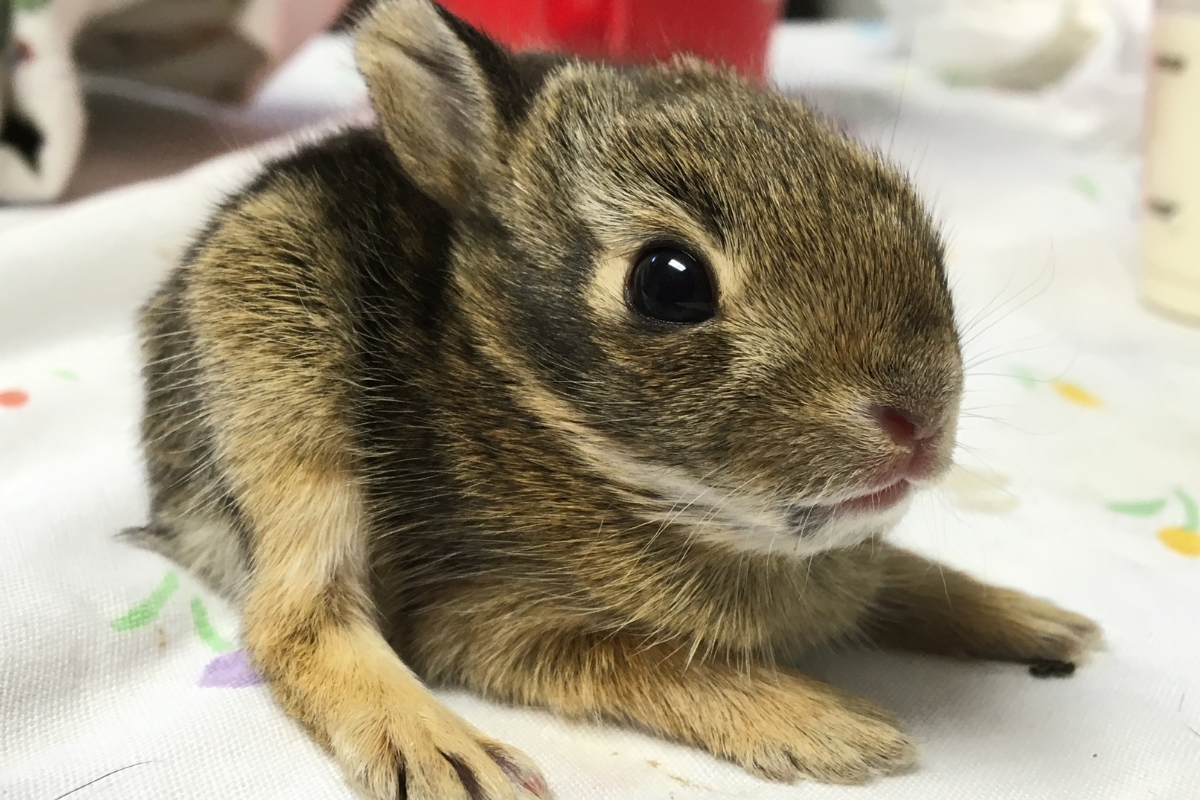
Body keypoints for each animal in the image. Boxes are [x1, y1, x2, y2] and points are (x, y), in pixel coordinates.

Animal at [130, 1, 1103, 798]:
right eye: (669, 283)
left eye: (900, 204)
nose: (919, 422)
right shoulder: (486, 618)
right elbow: (654, 661)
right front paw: (834, 729)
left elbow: (901, 574)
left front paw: (1044, 623)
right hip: (279, 369)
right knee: (293, 621)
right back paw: (450, 756)